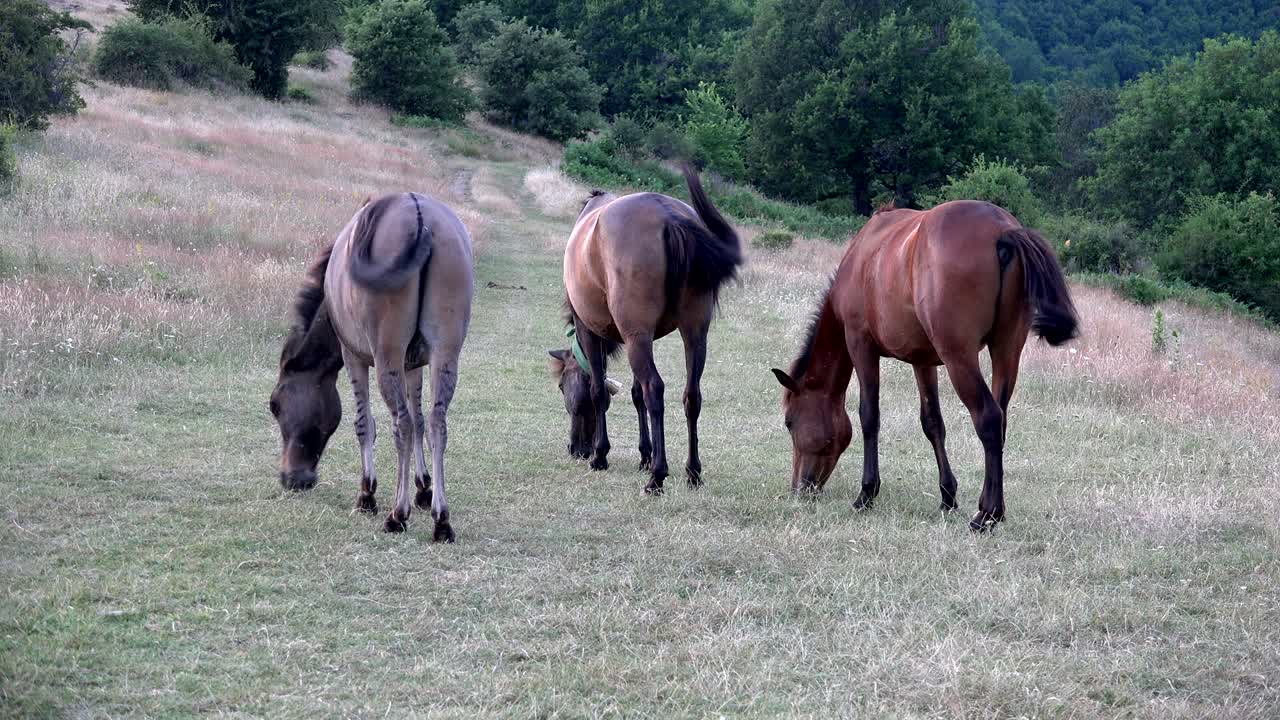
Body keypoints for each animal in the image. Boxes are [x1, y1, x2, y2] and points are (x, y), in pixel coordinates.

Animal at [269, 192, 473, 542]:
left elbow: (365, 424)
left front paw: (368, 494)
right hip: (445, 355)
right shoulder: (414, 365)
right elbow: (421, 420)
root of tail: (419, 213)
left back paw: (397, 515)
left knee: (401, 425)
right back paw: (441, 519)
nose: (291, 478)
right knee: (437, 424)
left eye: (275, 406)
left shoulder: (354, 357)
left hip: (385, 356)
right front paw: (423, 488)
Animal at [549, 167, 742, 494]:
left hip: (638, 337)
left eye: (563, 386)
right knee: (692, 395)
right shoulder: (635, 338)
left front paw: (601, 455)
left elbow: (599, 390)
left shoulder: (592, 331)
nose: (575, 449)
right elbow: (635, 393)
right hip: (693, 334)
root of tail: (669, 217)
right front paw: (644, 454)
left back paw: (657, 476)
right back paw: (692, 471)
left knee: (655, 389)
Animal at [770, 200, 1079, 532]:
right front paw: (947, 497)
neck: (863, 256)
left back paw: (987, 515)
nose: (799, 488)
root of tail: (1002, 230)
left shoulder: (860, 345)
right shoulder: (923, 361)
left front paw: (866, 494)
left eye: (789, 422)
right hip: (1006, 350)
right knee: (1001, 420)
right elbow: (932, 423)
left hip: (959, 358)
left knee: (989, 418)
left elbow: (869, 416)